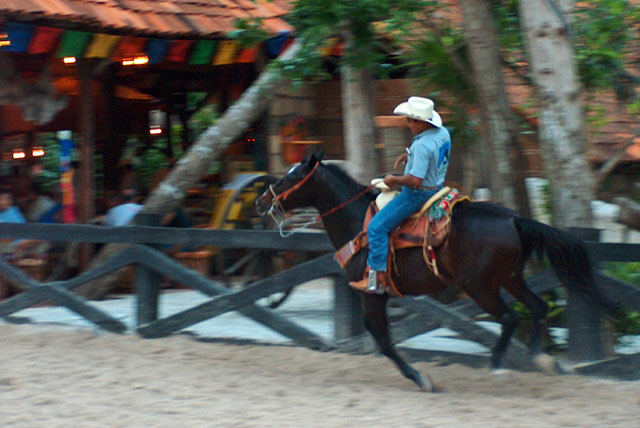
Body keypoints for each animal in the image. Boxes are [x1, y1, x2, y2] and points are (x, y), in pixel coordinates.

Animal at [254, 151, 616, 392]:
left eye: (291, 177)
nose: (261, 201)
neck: (357, 220)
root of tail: (514, 219)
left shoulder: (372, 293)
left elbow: (381, 338)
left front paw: (420, 377)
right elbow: (380, 337)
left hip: (480, 287)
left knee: (511, 317)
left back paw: (498, 365)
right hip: (511, 278)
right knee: (538, 307)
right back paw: (540, 359)